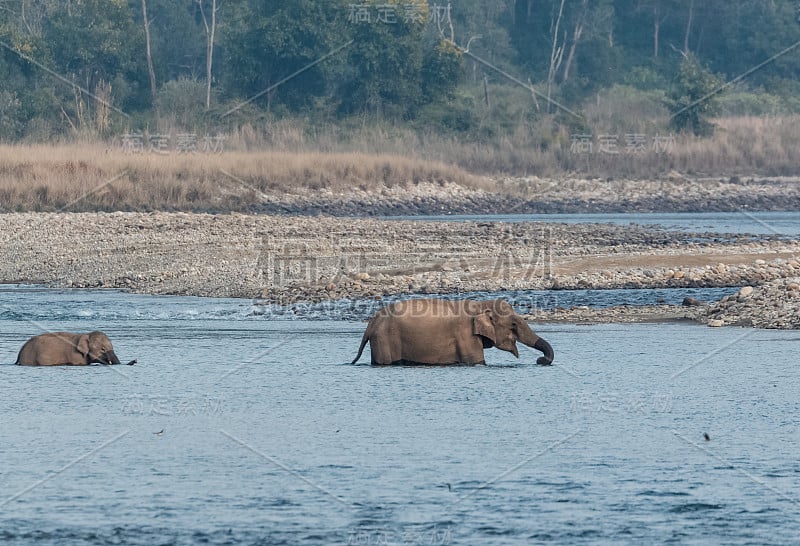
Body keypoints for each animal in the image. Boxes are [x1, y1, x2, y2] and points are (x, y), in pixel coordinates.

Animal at [352, 298, 556, 366]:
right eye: (513, 324)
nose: (540, 360)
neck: (480, 305)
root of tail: (372, 322)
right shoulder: (466, 336)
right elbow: (477, 361)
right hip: (384, 340)